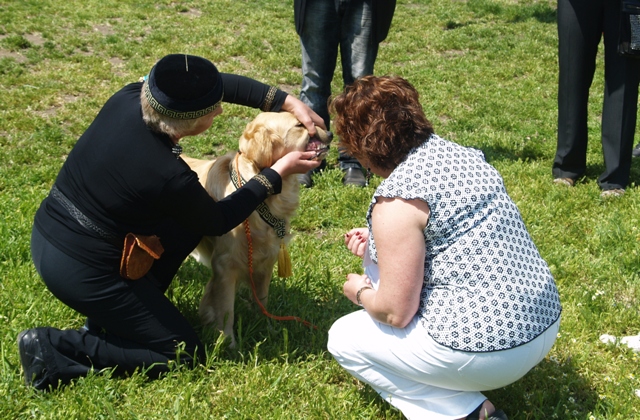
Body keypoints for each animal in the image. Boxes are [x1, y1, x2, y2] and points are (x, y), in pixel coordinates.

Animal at [183, 112, 331, 347]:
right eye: (300, 125)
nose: (331, 133)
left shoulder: (266, 260)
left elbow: (261, 300)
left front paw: (266, 328)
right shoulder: (225, 266)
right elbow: (226, 310)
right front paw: (228, 343)